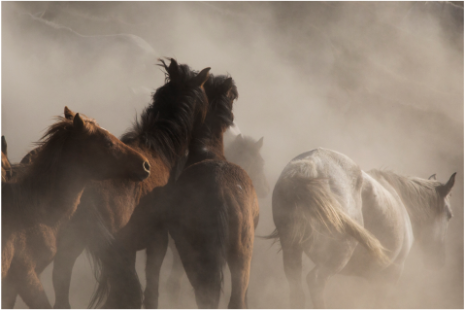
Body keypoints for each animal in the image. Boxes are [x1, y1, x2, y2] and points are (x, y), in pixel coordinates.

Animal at [270, 148, 454, 308]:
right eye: (449, 215)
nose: (439, 261)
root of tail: (310, 165)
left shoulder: (374, 278)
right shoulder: (389, 275)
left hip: (292, 251)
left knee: (296, 291)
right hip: (337, 257)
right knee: (316, 282)